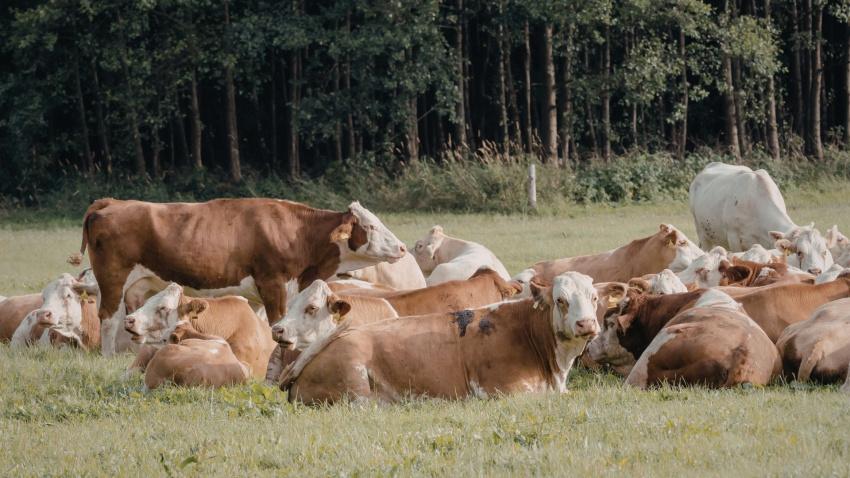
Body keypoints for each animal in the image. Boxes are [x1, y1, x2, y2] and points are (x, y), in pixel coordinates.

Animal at [70, 198, 406, 338]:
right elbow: (276, 322)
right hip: (112, 279)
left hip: (138, 285)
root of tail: (113, 203)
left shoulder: (257, 293)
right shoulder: (273, 284)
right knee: (109, 319)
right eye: (371, 226)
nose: (402, 248)